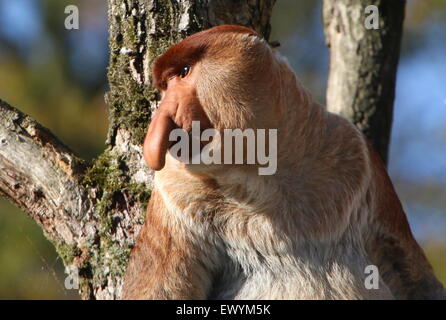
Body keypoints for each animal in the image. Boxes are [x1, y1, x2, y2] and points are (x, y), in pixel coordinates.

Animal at [120, 25, 444, 300]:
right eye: (165, 86)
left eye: (184, 72)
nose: (162, 118)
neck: (264, 170)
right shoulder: (173, 192)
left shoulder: (356, 150)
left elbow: (410, 273)